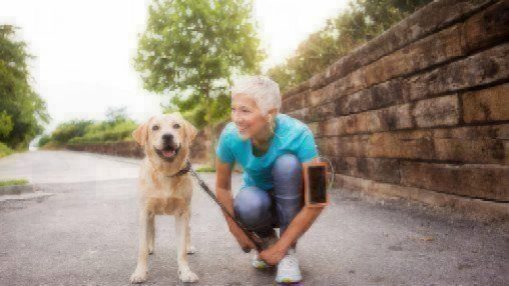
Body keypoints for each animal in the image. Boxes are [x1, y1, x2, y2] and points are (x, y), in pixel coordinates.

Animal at [130, 113, 199, 282]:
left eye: (177, 126)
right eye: (155, 127)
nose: (167, 136)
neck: (166, 172)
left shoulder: (181, 212)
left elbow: (181, 249)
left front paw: (185, 272)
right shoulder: (145, 212)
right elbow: (141, 248)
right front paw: (140, 273)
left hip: (188, 211)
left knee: (188, 230)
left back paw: (189, 246)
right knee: (151, 230)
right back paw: (150, 247)